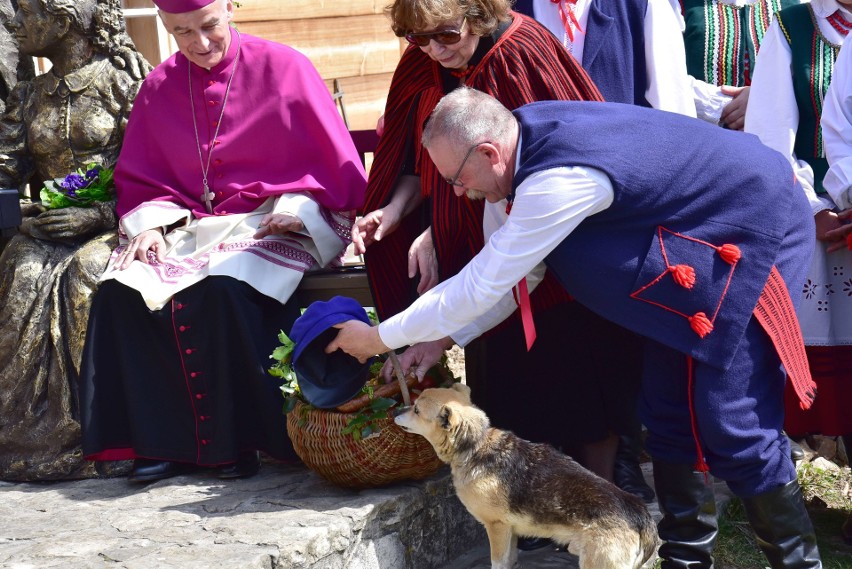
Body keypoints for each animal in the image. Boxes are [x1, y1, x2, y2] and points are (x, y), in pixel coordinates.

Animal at [394, 384, 660, 564]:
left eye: (416, 410)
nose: (395, 410)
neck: (476, 445)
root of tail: (639, 515)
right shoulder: (510, 532)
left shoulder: (497, 528)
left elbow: (498, 563)